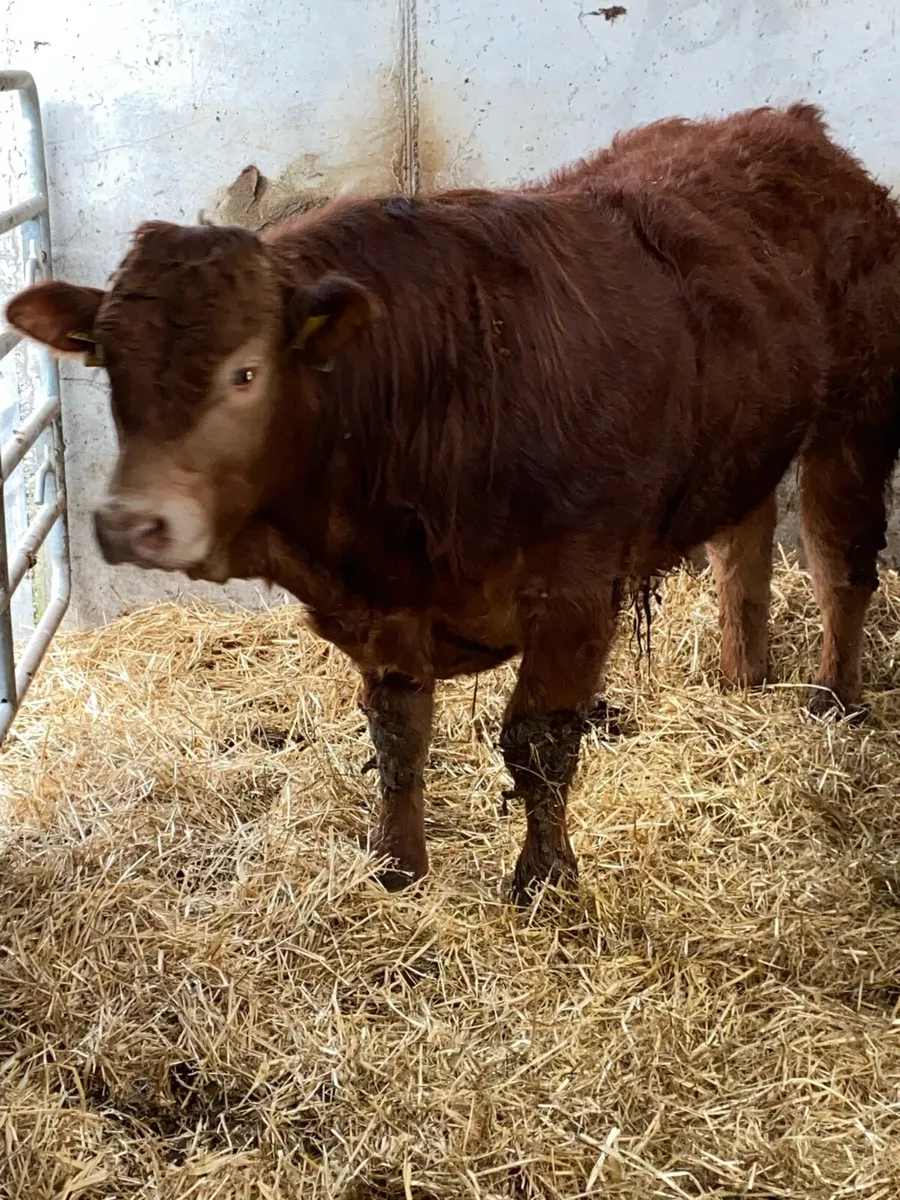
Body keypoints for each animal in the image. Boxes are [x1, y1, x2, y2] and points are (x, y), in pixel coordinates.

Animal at [7, 103, 900, 905]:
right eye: (109, 365)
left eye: (246, 372)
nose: (132, 523)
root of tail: (794, 129)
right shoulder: (389, 608)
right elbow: (399, 738)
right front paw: (398, 867)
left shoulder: (573, 593)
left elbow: (538, 744)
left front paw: (545, 881)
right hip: (750, 433)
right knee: (741, 549)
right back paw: (744, 679)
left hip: (855, 418)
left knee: (838, 564)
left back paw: (835, 701)